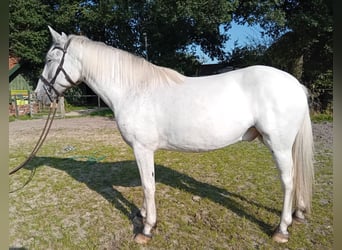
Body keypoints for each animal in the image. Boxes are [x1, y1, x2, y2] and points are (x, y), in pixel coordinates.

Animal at [34, 27, 312, 244]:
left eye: (49, 59)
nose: (38, 96)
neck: (133, 89)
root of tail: (294, 84)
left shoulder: (142, 148)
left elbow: (148, 186)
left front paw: (146, 229)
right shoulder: (142, 151)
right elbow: (146, 182)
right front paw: (143, 215)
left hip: (279, 145)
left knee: (288, 181)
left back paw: (281, 229)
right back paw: (297, 214)